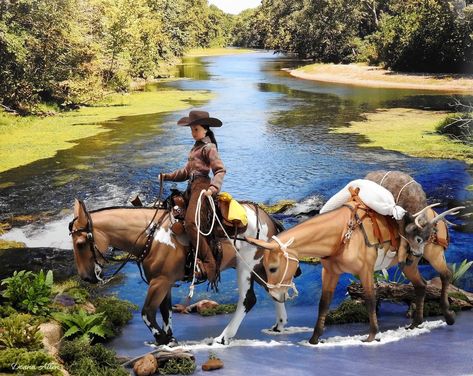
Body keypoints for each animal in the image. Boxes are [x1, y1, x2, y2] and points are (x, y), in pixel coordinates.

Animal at [69, 198, 284, 346]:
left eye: (80, 244)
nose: (86, 277)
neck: (152, 235)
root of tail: (268, 218)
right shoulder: (165, 283)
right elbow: (165, 312)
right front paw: (169, 339)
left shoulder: (160, 282)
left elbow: (147, 313)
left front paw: (163, 339)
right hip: (260, 268)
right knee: (276, 290)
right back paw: (279, 326)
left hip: (245, 267)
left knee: (248, 300)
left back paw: (223, 337)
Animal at [247, 192, 460, 346]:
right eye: (263, 266)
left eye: (273, 268)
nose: (275, 296)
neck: (342, 233)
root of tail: (435, 216)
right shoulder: (330, 273)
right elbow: (324, 303)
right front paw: (314, 339)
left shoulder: (366, 271)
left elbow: (370, 299)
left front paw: (372, 335)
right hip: (408, 263)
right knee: (421, 285)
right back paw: (416, 323)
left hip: (433, 255)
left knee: (446, 275)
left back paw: (448, 316)